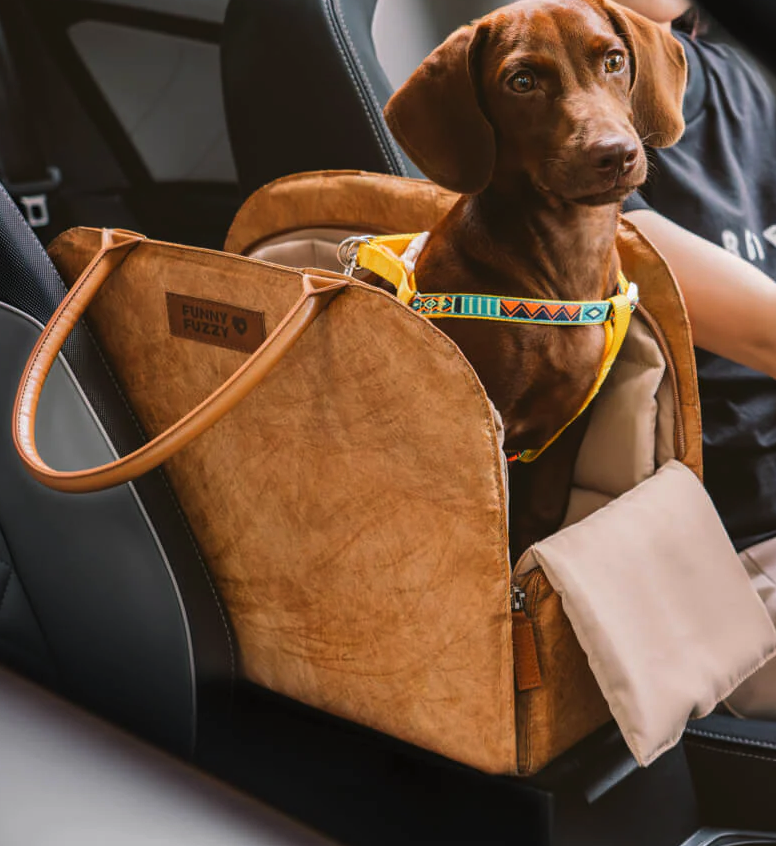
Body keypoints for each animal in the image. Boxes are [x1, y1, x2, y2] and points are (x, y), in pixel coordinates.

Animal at [382, 0, 684, 556]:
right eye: (521, 82)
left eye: (614, 61)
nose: (616, 154)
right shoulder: (490, 430)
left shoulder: (566, 430)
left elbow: (539, 515)